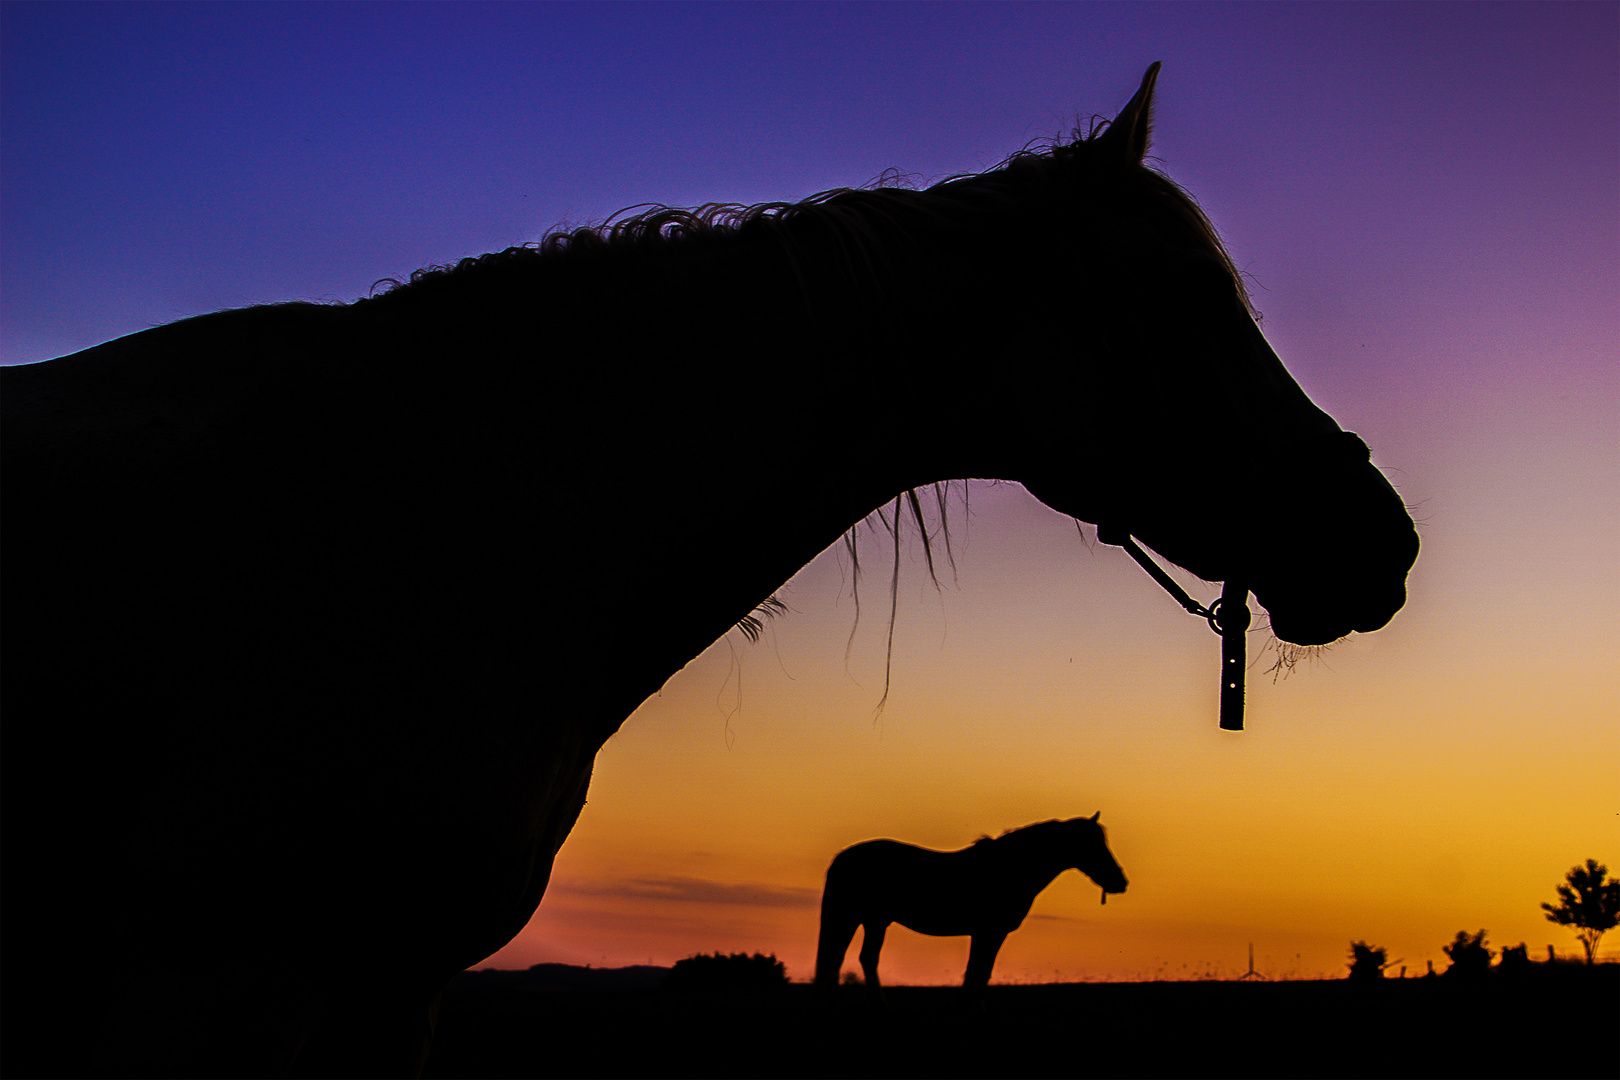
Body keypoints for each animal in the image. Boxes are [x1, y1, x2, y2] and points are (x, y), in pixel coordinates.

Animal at [810, 819, 1127, 997]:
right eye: (1092, 844)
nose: (1120, 881)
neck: (1011, 868)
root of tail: (843, 857)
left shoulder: (988, 934)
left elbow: (978, 974)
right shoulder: (988, 932)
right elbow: (977, 974)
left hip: (873, 921)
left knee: (858, 959)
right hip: (852, 918)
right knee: (837, 959)